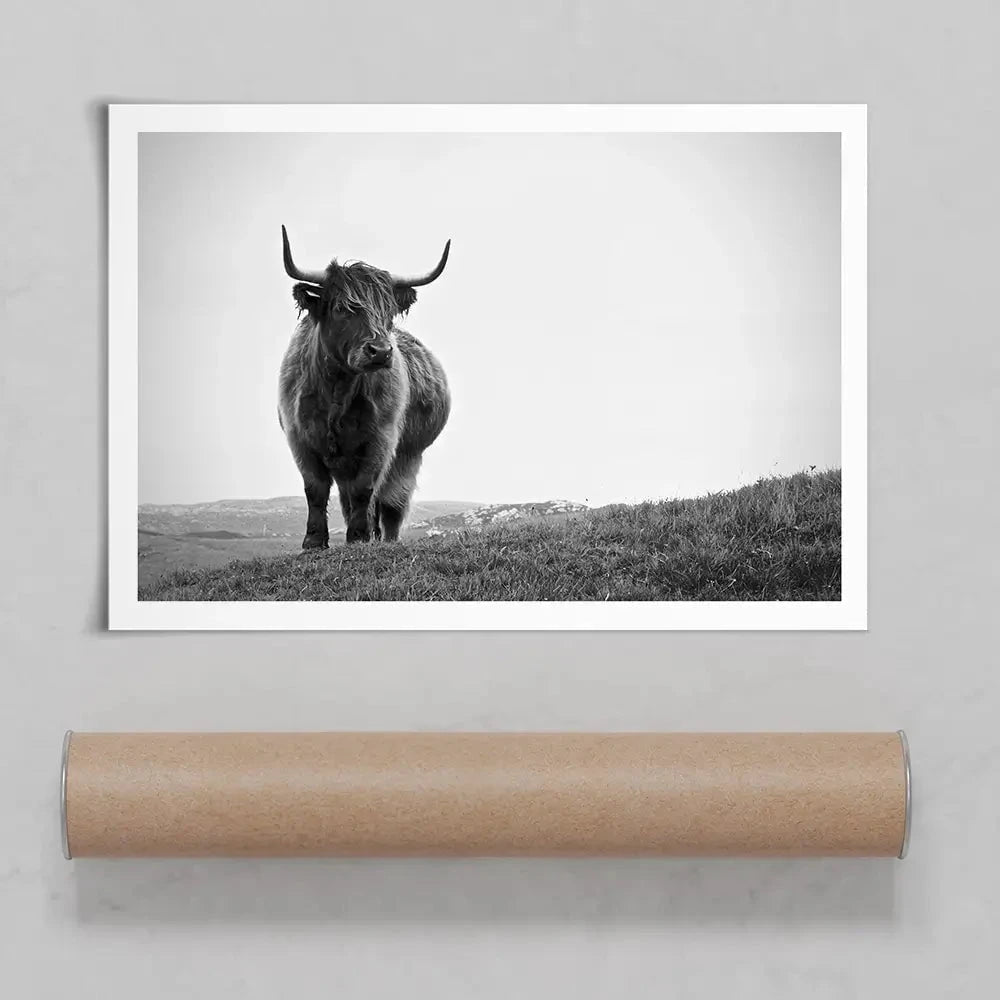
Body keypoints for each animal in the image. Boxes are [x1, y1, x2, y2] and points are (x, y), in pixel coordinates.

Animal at [277, 226, 451, 548]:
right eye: (341, 308)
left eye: (388, 312)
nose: (380, 351)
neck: (337, 389)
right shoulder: (300, 439)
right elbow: (315, 489)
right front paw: (313, 541)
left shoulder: (380, 440)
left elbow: (365, 490)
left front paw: (358, 538)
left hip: (408, 456)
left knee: (391, 503)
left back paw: (384, 538)